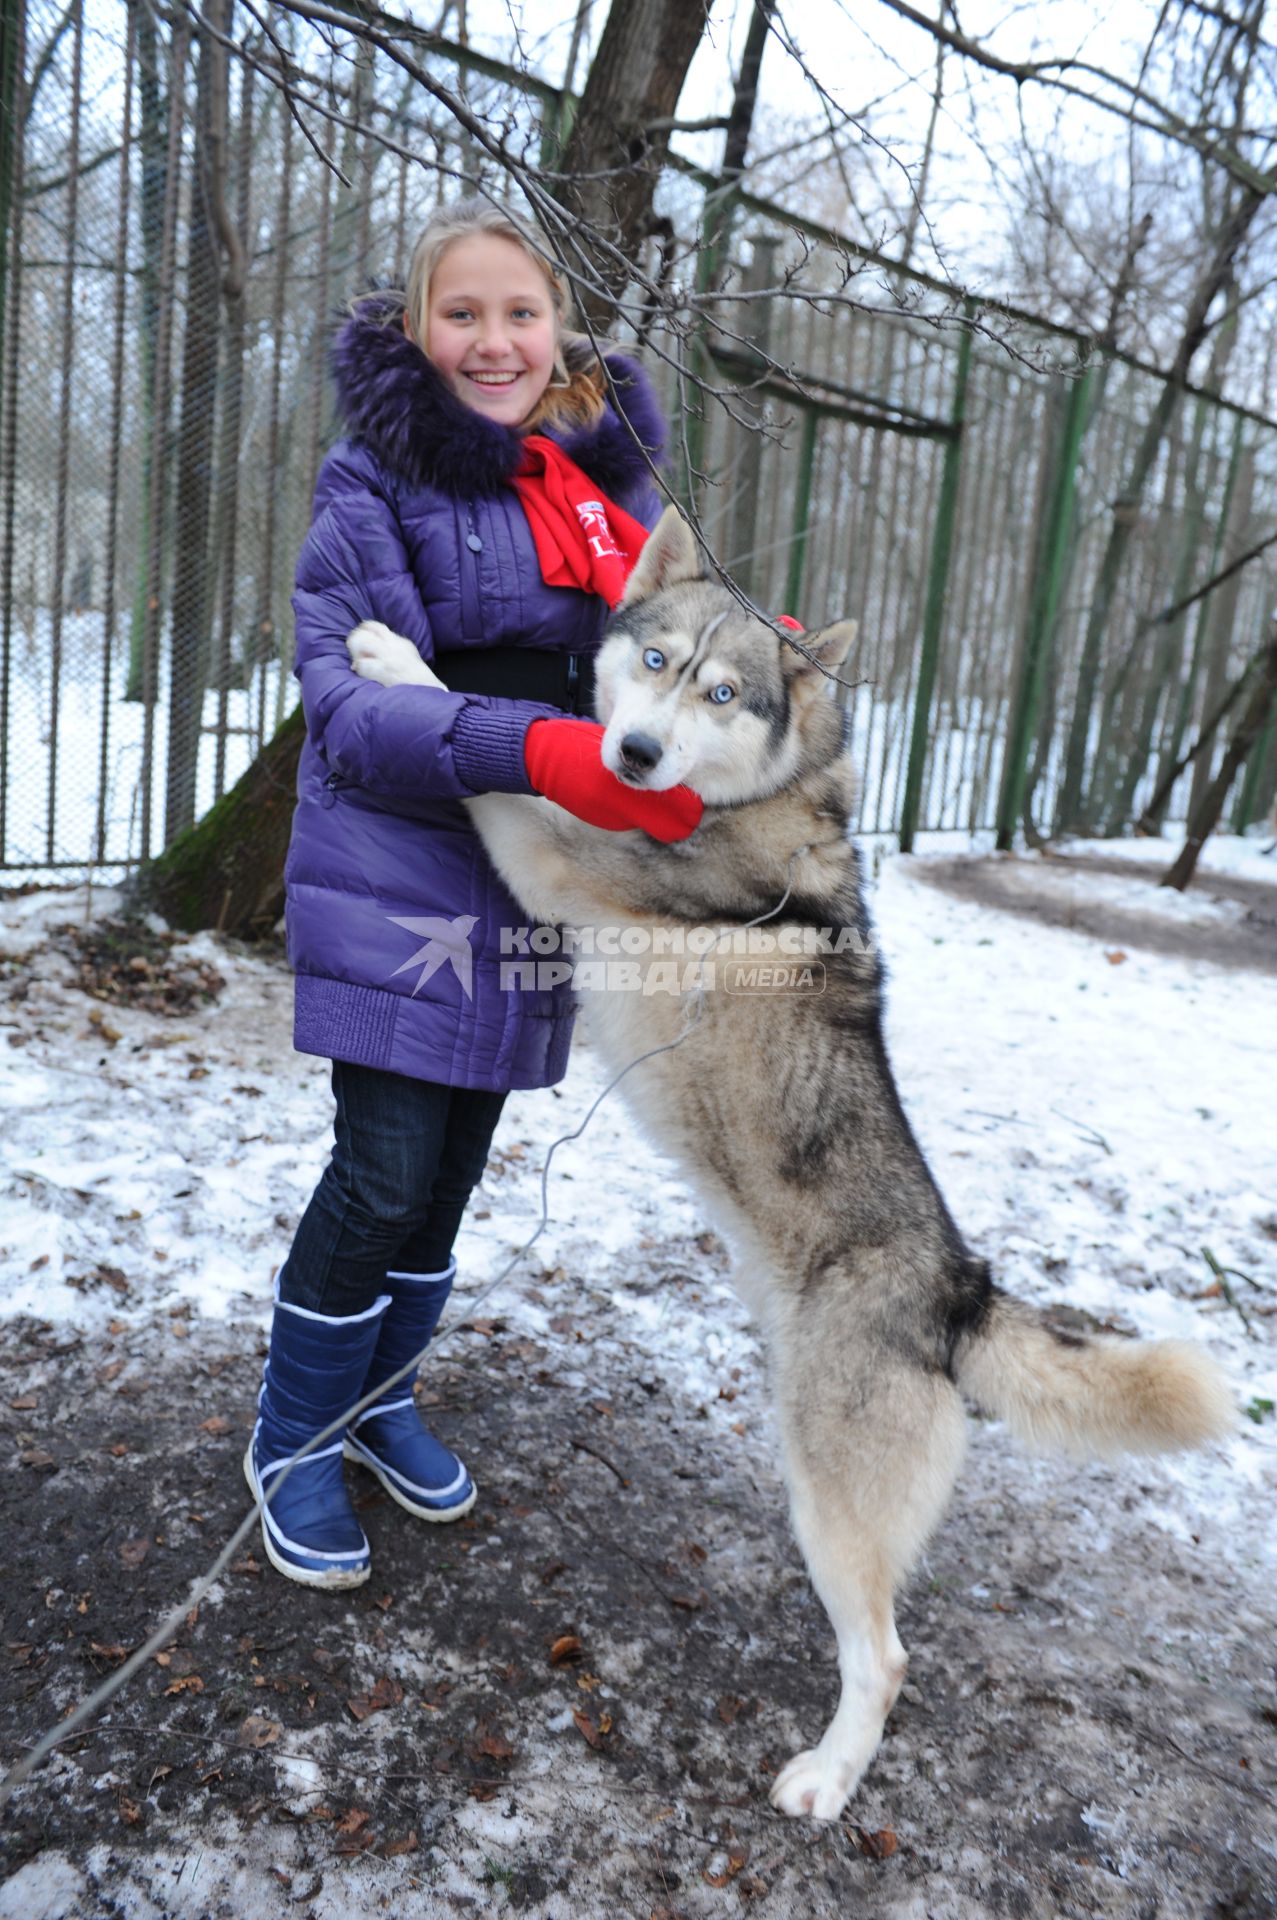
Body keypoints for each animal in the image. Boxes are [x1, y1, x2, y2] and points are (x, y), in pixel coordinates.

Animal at [345, 503, 1228, 1820]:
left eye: (723, 692)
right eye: (656, 663)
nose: (635, 757)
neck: (742, 794)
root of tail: (957, 1288)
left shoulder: (552, 857)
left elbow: (492, 757)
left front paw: (398, 665)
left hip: (827, 1492)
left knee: (887, 1657)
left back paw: (824, 1780)